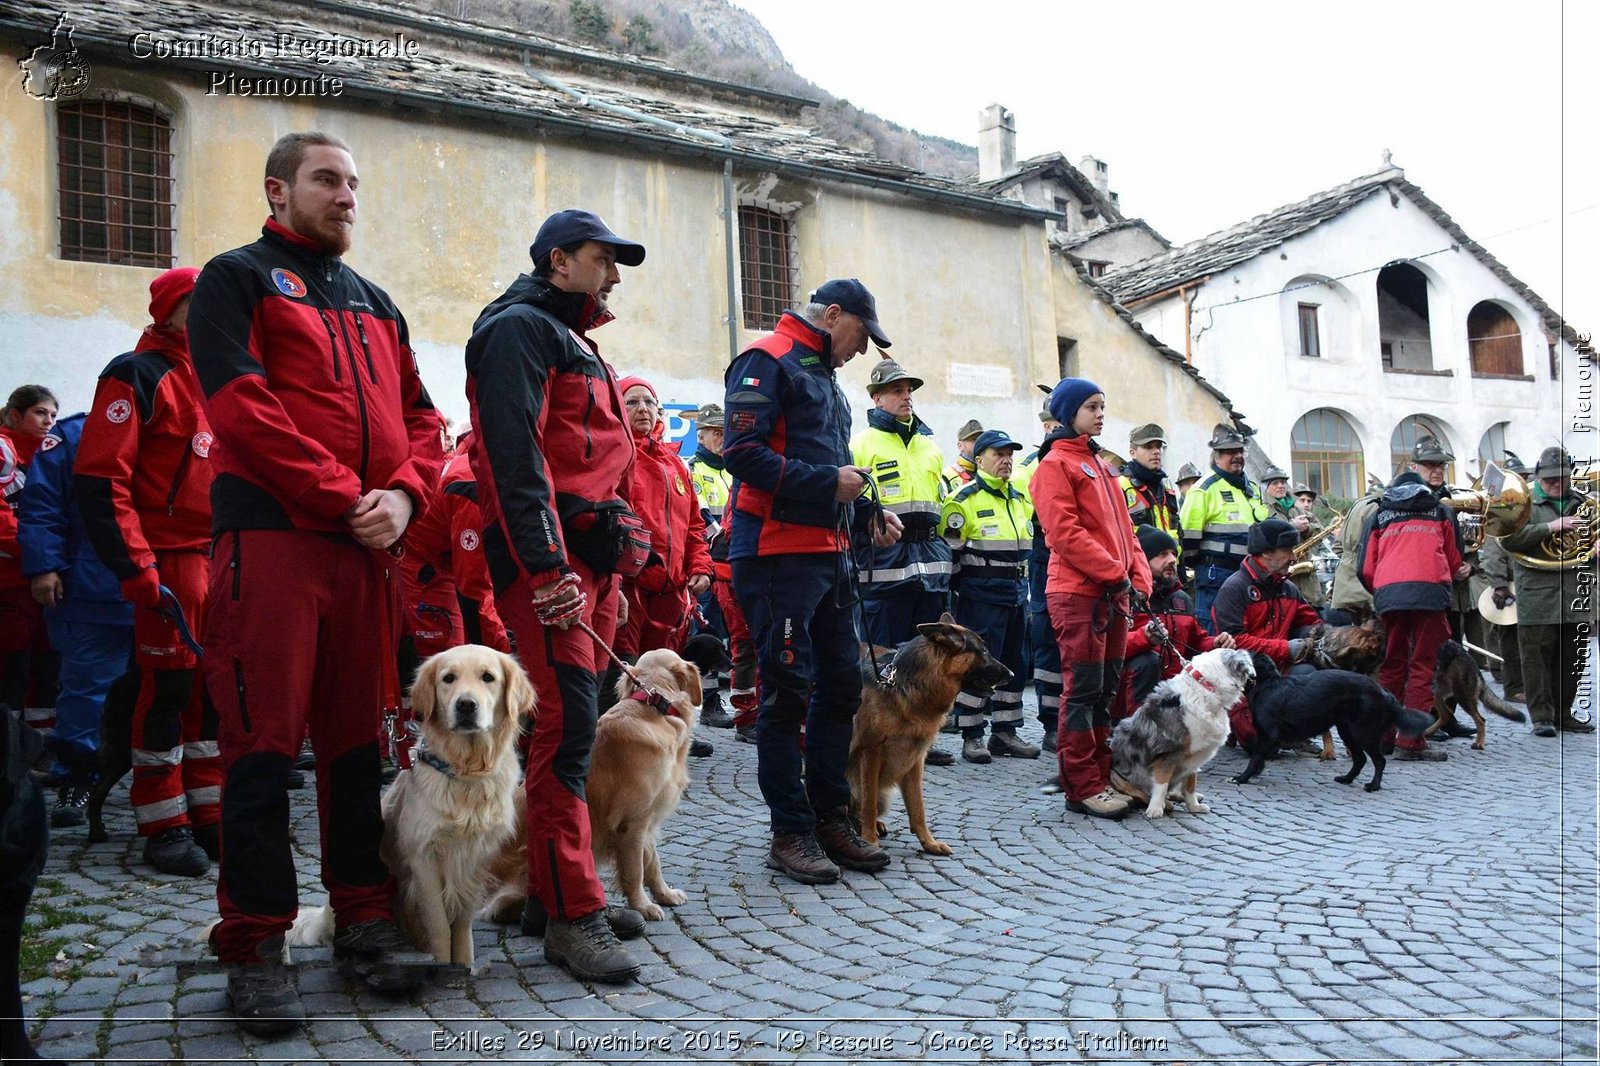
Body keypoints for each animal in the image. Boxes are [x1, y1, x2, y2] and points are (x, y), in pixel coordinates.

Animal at [851, 614, 1011, 857]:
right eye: (983, 650)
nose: (1012, 675)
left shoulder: (915, 758)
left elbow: (918, 807)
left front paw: (929, 843)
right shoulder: (871, 753)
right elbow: (868, 803)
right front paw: (869, 841)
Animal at [1228, 646, 1433, 787]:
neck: (1267, 685)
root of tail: (1383, 692)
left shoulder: (1268, 736)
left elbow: (1255, 758)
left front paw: (1242, 777)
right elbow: (1258, 759)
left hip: (1363, 732)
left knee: (1379, 760)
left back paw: (1373, 786)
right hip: (1347, 731)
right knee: (1360, 759)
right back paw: (1346, 779)